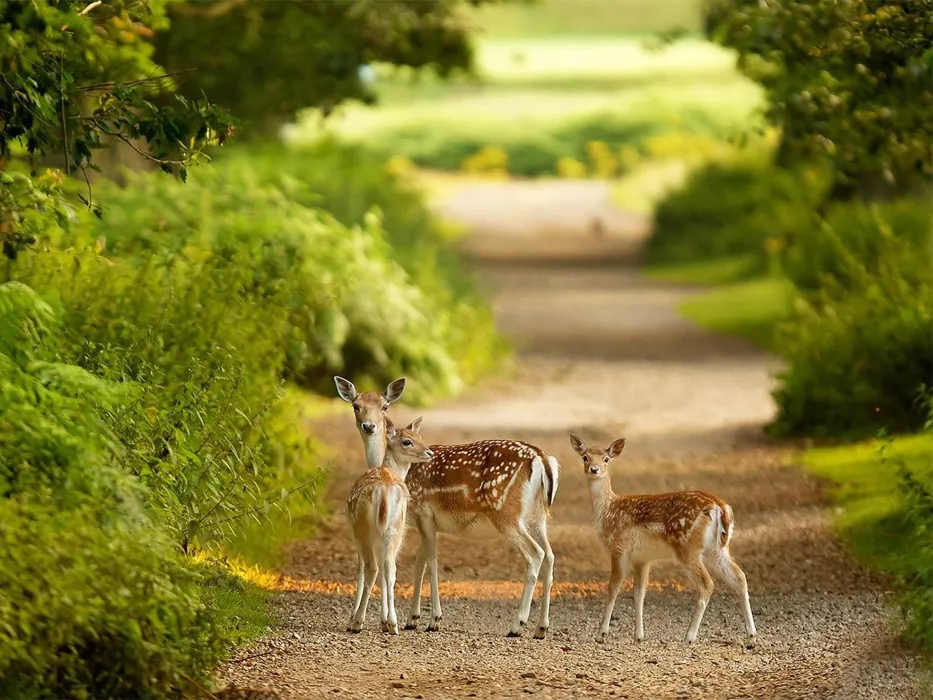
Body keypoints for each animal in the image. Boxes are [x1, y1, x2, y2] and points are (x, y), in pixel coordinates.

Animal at [344, 418, 432, 636]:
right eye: (408, 441)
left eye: (420, 436)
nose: (429, 452)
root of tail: (383, 492)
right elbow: (386, 572)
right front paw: (384, 621)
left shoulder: (356, 533)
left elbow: (360, 570)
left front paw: (355, 619)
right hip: (395, 528)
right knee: (390, 569)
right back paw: (393, 623)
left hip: (364, 529)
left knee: (372, 568)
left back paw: (357, 622)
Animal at [568, 432, 756, 644]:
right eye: (585, 457)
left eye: (606, 459)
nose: (594, 469)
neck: (608, 511)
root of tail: (720, 508)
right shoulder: (642, 558)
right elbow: (639, 593)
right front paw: (639, 636)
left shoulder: (618, 547)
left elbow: (613, 587)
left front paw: (601, 633)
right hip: (717, 549)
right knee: (739, 576)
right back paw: (751, 634)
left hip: (686, 547)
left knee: (706, 584)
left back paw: (689, 637)